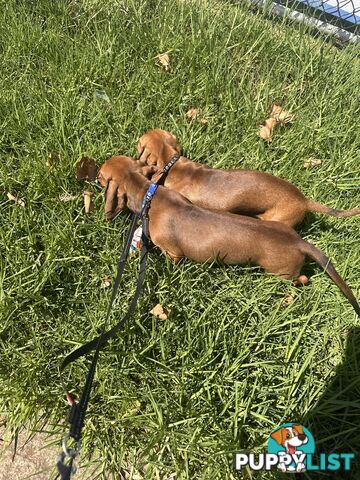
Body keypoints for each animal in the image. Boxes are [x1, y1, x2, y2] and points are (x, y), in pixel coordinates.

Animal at [97, 156, 358, 316]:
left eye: (99, 176)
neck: (149, 193)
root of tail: (299, 241)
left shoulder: (173, 253)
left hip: (282, 272)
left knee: (301, 279)